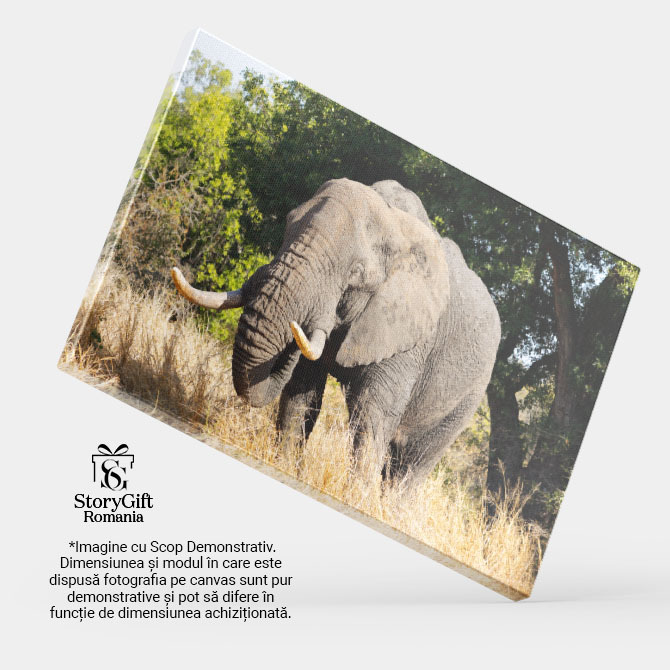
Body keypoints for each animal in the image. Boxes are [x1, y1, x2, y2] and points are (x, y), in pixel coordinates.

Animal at [171, 178, 500, 487]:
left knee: (412, 464)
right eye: (287, 225)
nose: (297, 325)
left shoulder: (411, 334)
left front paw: (356, 495)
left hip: (469, 395)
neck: (393, 219)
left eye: (355, 272)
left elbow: (370, 415)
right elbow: (302, 394)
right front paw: (285, 468)